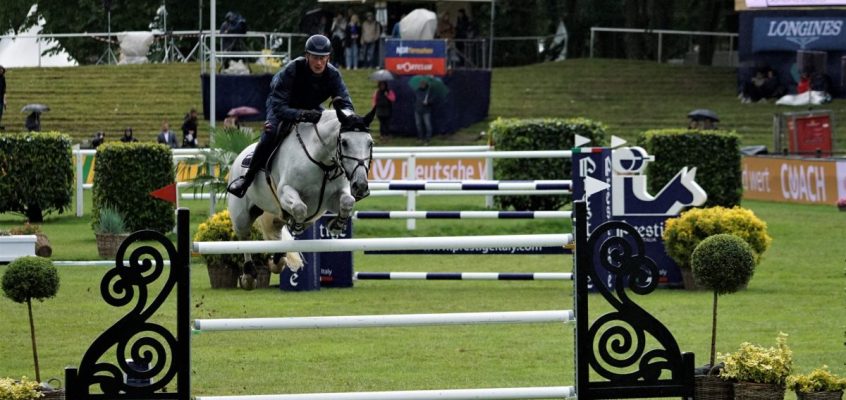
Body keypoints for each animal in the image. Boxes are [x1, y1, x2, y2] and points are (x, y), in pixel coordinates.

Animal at [229, 101, 374, 290]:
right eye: (344, 142)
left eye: (370, 143)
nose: (361, 185)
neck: (322, 162)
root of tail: (241, 155)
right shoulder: (285, 191)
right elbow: (299, 207)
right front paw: (297, 224)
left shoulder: (330, 200)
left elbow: (347, 201)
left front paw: (336, 225)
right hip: (242, 214)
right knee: (243, 236)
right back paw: (248, 275)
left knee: (278, 231)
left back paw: (278, 260)